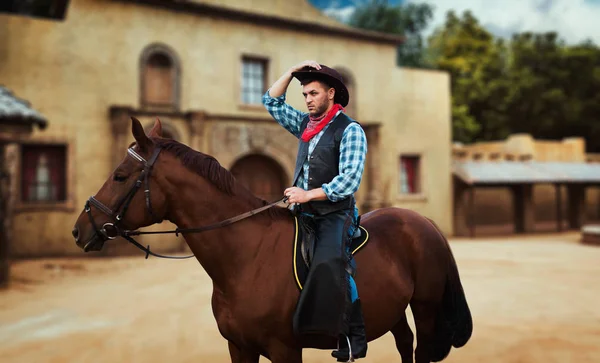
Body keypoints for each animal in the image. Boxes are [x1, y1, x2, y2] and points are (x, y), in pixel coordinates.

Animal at [72, 118, 472, 362]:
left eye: (120, 176)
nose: (80, 229)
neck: (247, 258)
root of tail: (423, 221)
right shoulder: (239, 347)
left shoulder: (284, 350)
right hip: (393, 311)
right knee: (405, 344)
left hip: (426, 308)